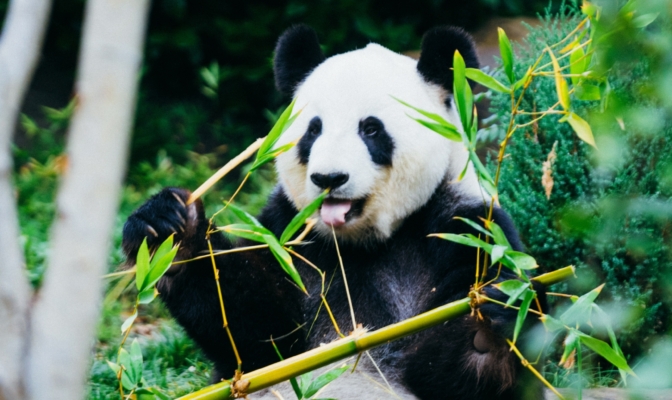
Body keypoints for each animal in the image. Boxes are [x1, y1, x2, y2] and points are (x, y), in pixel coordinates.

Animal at [122, 25, 546, 399]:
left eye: (371, 129)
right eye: (313, 130)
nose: (329, 178)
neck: (361, 242)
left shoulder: (463, 228)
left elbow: (452, 374)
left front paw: (488, 328)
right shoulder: (289, 233)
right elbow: (255, 334)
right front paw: (172, 233)